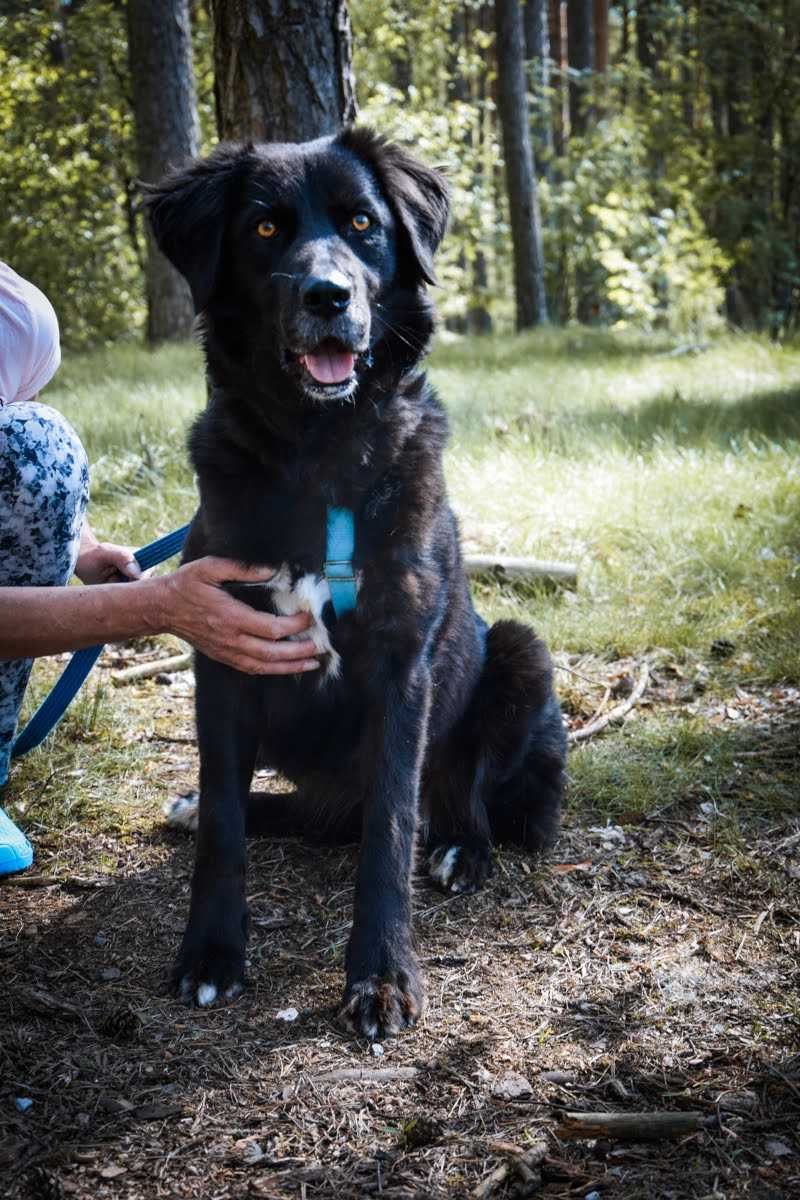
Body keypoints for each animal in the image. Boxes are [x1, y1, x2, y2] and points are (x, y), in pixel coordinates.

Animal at [148, 126, 563, 1036]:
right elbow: (224, 820)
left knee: (461, 793)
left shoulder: (401, 670)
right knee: (292, 815)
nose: (329, 296)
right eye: (266, 229)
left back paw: (463, 849)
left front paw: (381, 978)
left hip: (520, 650)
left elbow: (392, 828)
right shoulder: (224, 658)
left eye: (363, 223)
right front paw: (211, 954)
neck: (320, 454)